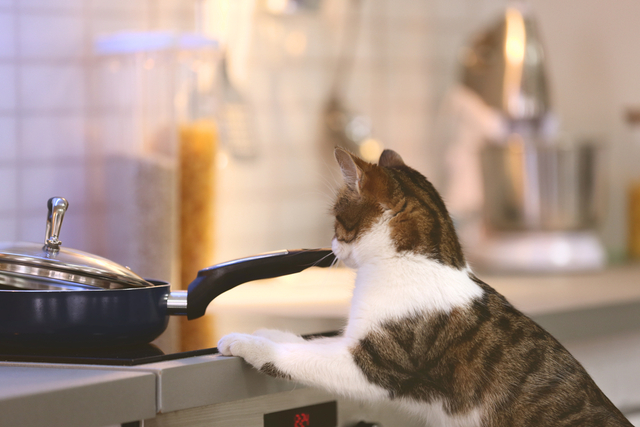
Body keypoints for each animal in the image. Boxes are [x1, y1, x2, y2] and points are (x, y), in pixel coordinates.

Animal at [218, 148, 632, 427]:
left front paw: (246, 343)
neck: (410, 263)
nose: (331, 246)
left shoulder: (375, 361)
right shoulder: (354, 337)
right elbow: (306, 341)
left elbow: (302, 358)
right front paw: (263, 331)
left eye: (337, 218)